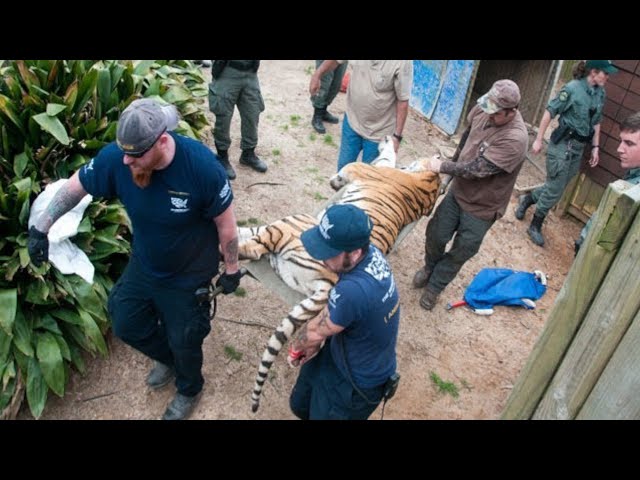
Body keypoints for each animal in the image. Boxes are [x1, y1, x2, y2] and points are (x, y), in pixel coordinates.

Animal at [240, 158, 440, 412]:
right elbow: (387, 157)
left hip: (294, 223)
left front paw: (336, 179)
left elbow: (362, 162)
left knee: (251, 247)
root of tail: (329, 283)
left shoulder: (367, 169)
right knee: (250, 236)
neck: (427, 189)